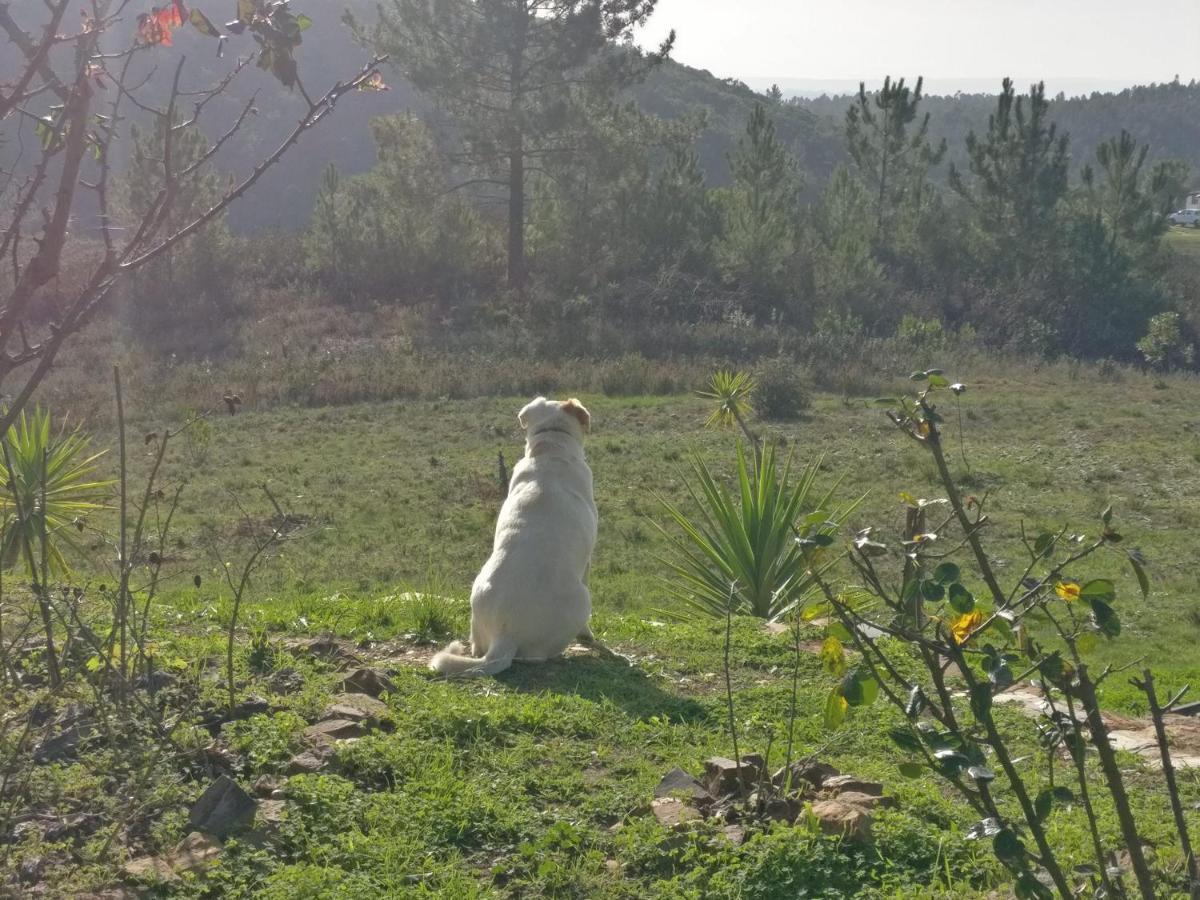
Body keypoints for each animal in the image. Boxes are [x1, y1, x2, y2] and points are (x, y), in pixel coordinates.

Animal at [432, 396, 600, 676]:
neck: (549, 449)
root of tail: (505, 636)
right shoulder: (588, 561)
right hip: (582, 600)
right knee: (538, 656)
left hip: (476, 602)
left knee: (477, 647)